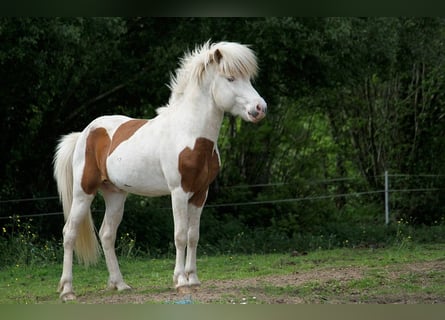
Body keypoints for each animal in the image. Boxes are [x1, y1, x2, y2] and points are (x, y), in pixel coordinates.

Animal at [53, 41, 266, 302]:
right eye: (231, 78)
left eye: (248, 78)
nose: (260, 108)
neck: (189, 133)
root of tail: (84, 133)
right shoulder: (179, 192)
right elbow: (180, 235)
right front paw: (180, 281)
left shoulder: (200, 194)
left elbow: (194, 236)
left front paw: (194, 279)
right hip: (83, 192)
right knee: (70, 233)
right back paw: (68, 290)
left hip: (115, 195)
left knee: (107, 235)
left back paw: (120, 285)